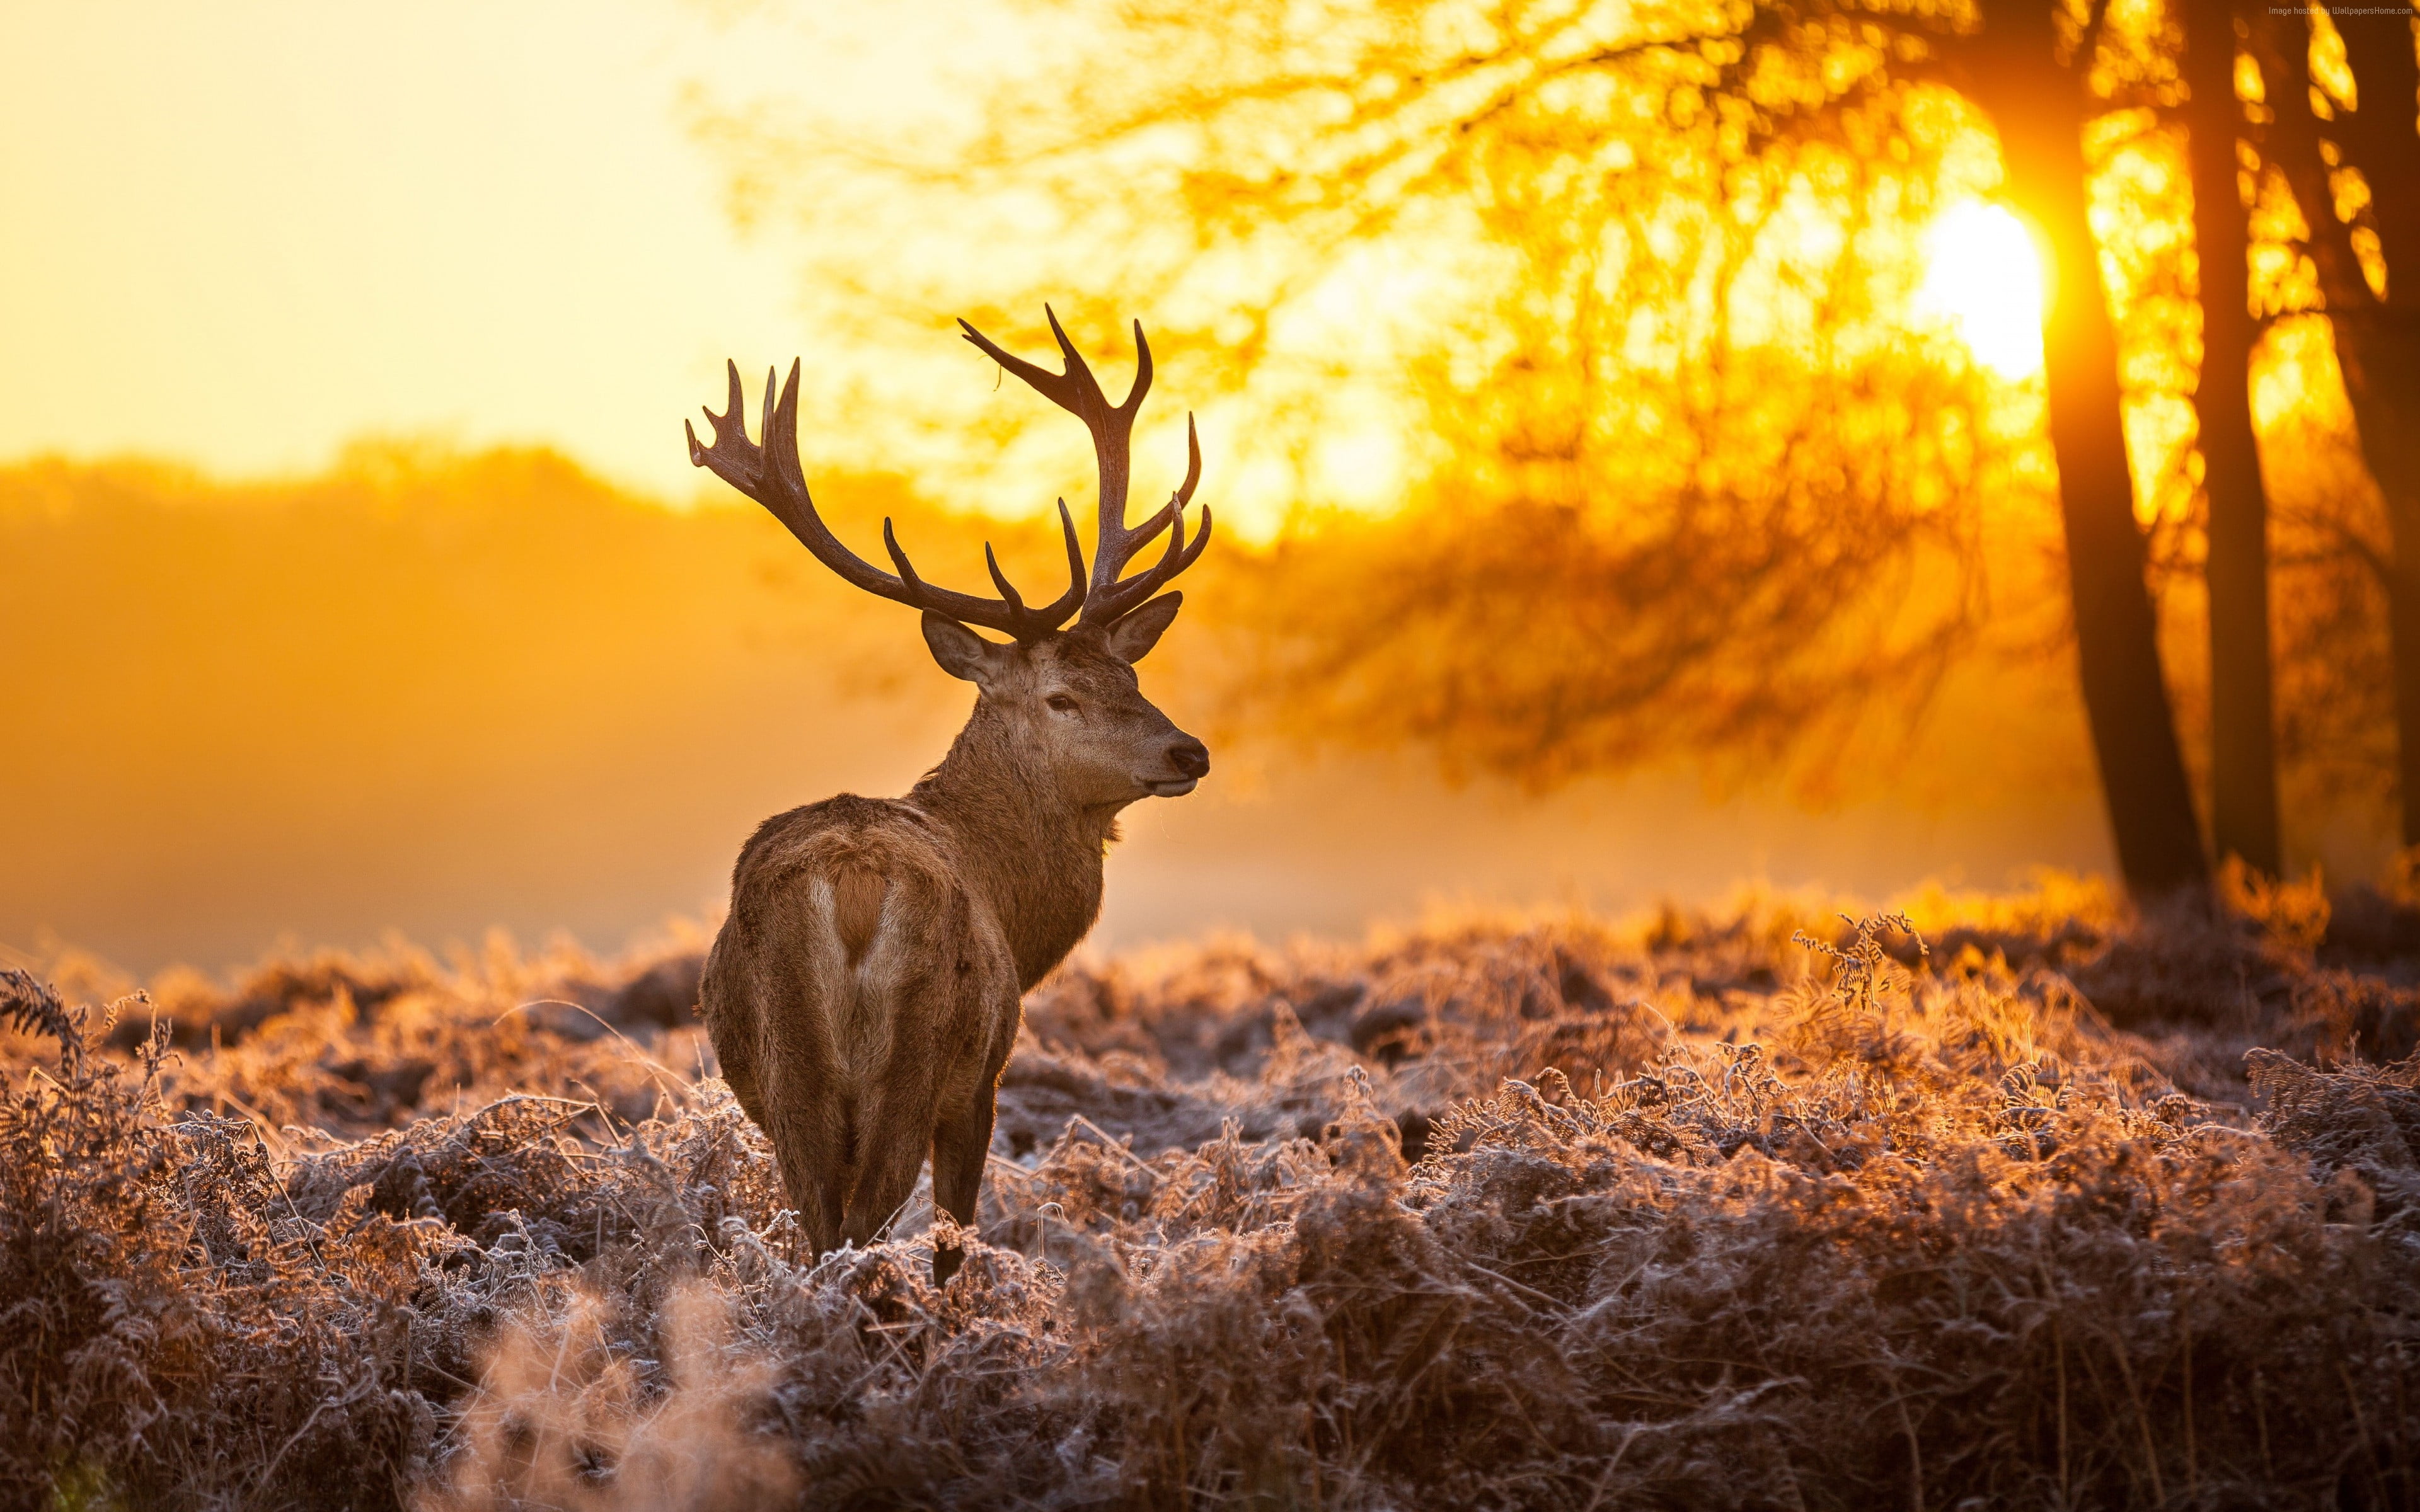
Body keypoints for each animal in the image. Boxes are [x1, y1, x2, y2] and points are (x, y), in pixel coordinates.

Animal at [682, 312, 1210, 1277]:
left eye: (1130, 674)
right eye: (1061, 697)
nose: (1188, 750)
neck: (1015, 903)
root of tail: (853, 886)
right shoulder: (984, 1079)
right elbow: (956, 1236)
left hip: (788, 1073)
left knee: (821, 1229)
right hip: (920, 1055)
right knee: (865, 1224)